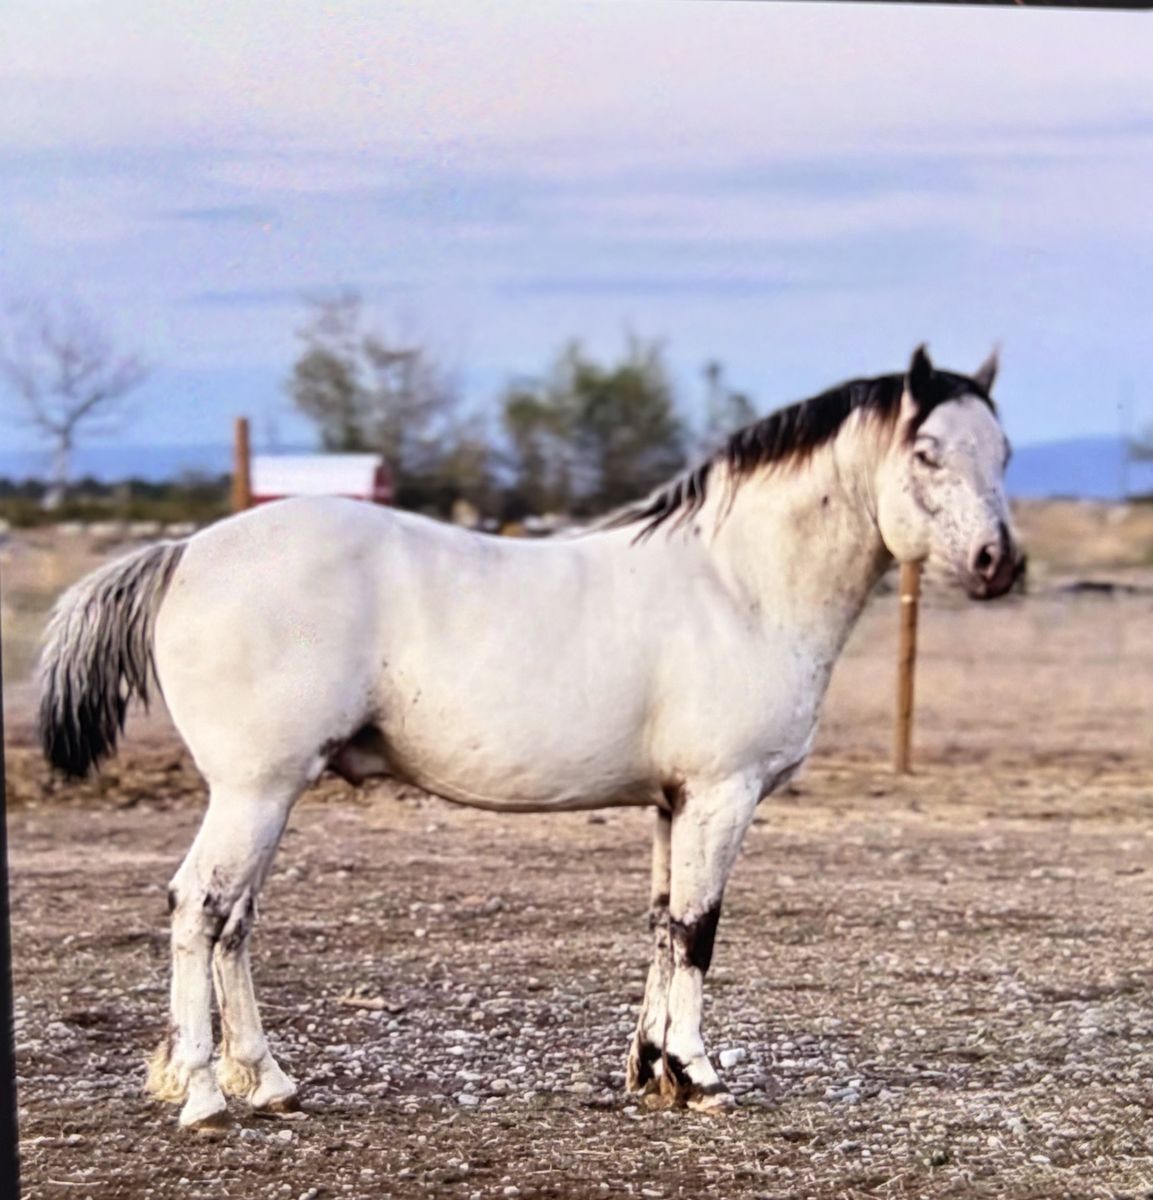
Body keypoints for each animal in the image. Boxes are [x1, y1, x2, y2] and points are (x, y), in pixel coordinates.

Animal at [38, 345, 1022, 1130]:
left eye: (1004, 452)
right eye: (927, 452)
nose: (998, 564)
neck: (735, 585)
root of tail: (185, 553)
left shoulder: (672, 804)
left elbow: (661, 923)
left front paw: (651, 1070)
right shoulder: (722, 794)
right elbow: (697, 928)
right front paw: (699, 1075)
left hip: (266, 795)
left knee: (234, 920)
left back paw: (268, 1081)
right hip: (255, 790)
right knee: (200, 909)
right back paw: (206, 1094)